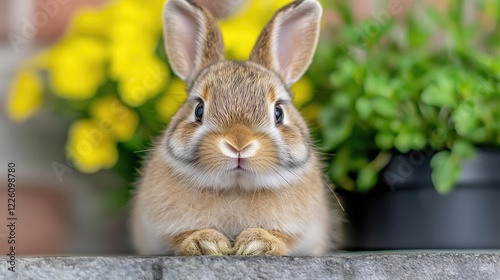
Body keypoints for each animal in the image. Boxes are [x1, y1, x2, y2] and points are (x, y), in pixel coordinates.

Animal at [130, 0, 344, 255]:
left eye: (278, 113)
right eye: (199, 110)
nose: (239, 144)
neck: (236, 187)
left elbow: (282, 238)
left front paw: (256, 244)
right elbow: (183, 235)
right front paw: (207, 243)